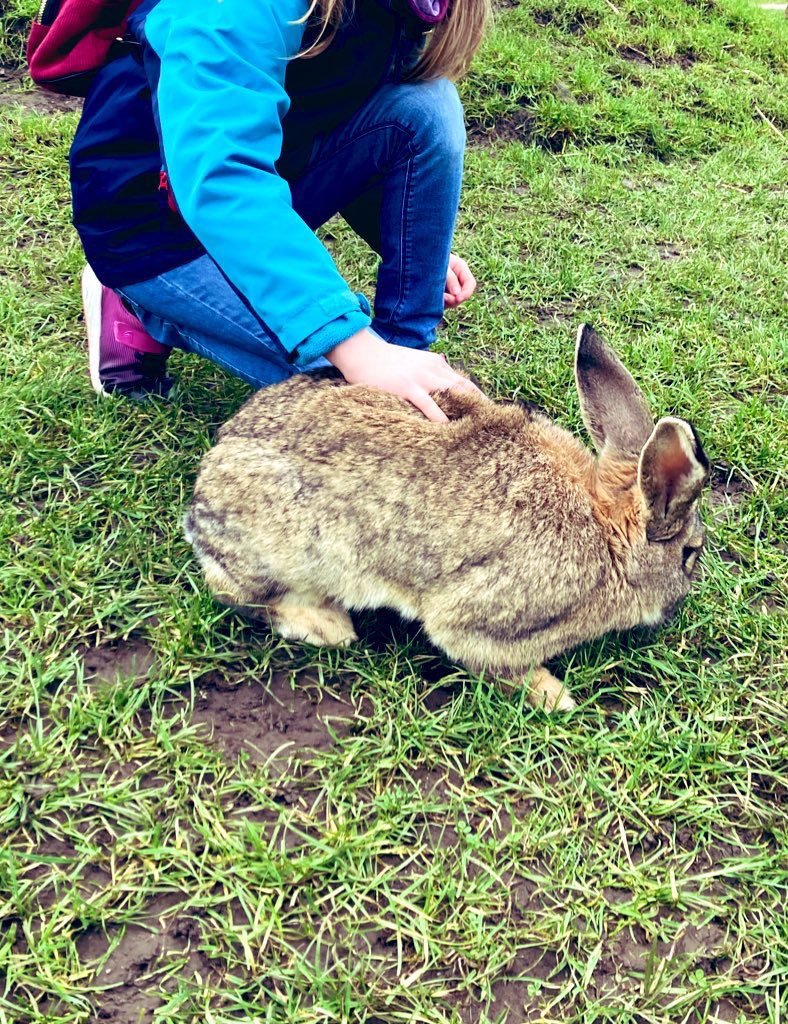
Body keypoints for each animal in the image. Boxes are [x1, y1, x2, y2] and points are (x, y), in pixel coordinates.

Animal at [184, 325, 709, 712]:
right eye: (690, 553)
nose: (681, 604)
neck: (607, 533)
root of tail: (205, 485)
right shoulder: (479, 621)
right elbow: (486, 658)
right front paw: (554, 696)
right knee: (235, 591)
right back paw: (327, 626)